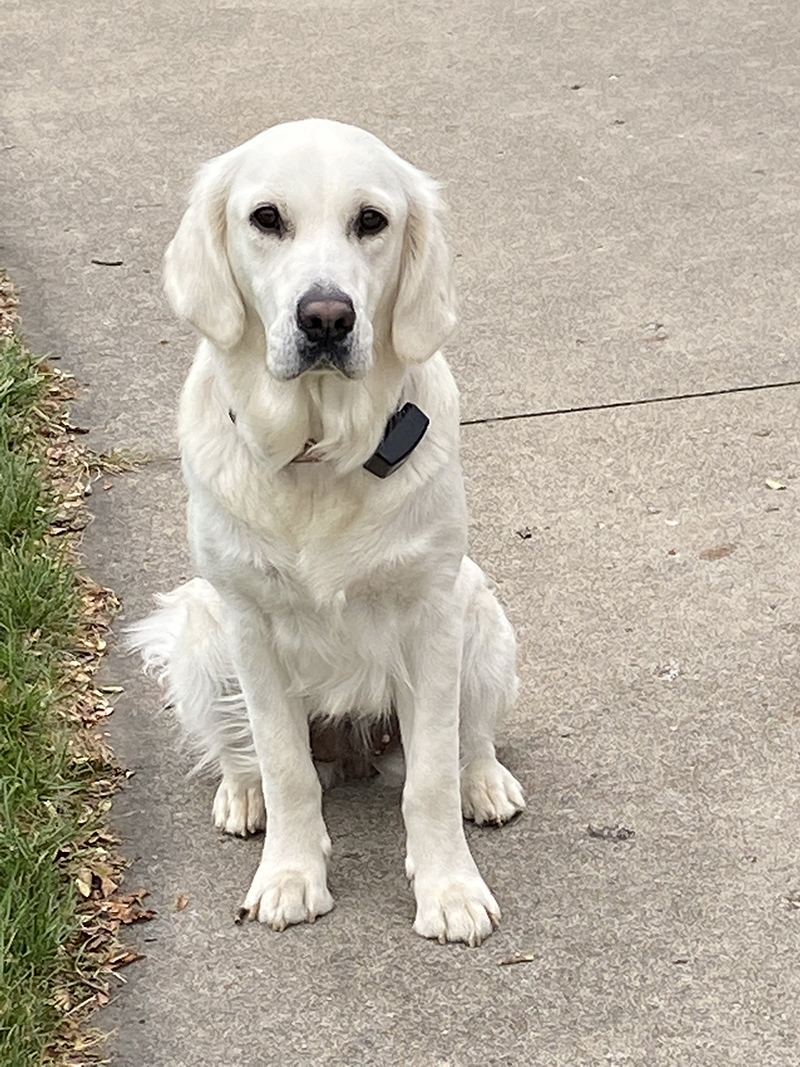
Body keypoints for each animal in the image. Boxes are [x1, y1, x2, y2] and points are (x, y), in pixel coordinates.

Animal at [130, 121, 526, 947]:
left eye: (371, 220)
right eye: (266, 218)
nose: (326, 317)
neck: (319, 456)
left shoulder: (433, 614)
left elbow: (431, 777)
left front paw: (449, 888)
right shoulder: (248, 622)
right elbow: (285, 766)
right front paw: (290, 875)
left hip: (480, 610)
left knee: (470, 739)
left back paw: (485, 781)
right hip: (199, 629)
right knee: (246, 751)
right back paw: (242, 795)